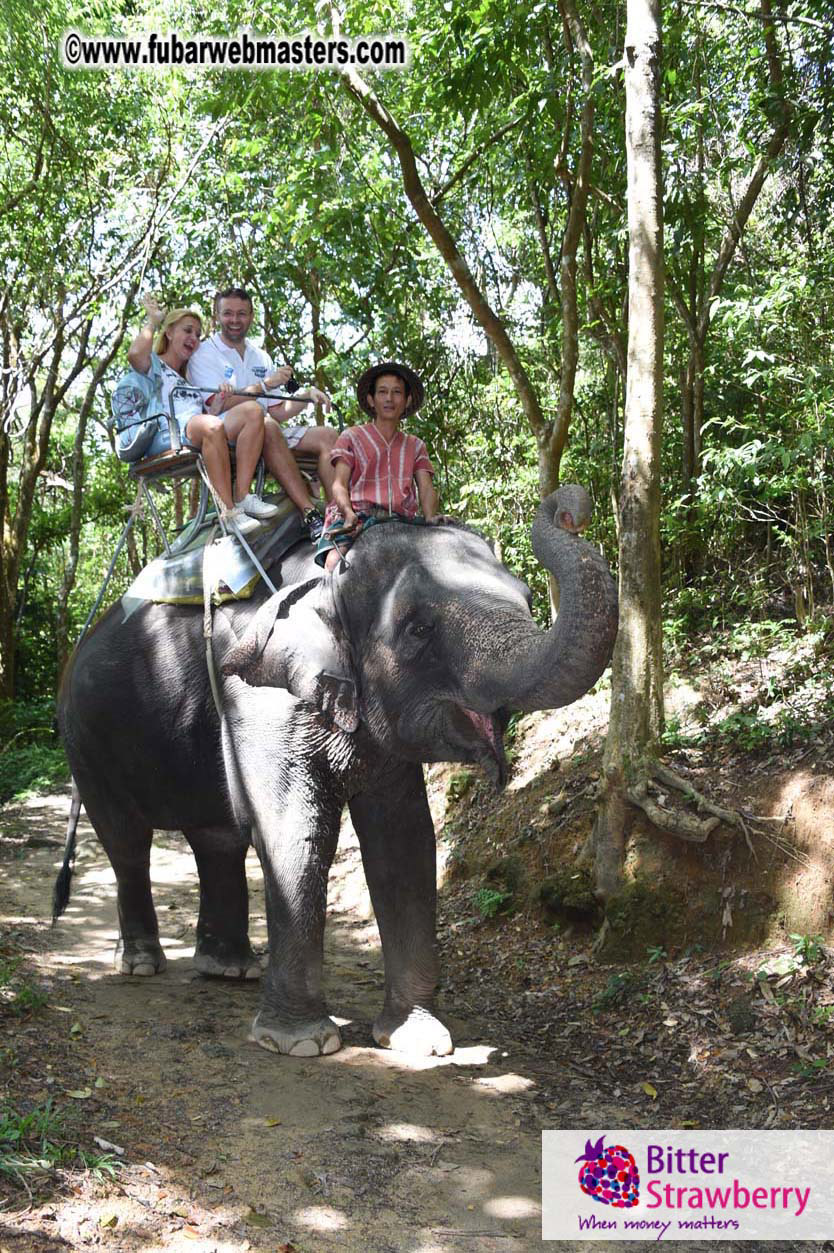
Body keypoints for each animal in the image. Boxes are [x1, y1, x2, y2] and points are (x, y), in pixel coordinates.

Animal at [56, 484, 617, 1058]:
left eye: (526, 598)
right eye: (419, 628)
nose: (571, 506)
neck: (329, 572)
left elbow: (405, 839)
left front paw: (419, 1041)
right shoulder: (259, 695)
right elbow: (296, 833)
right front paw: (301, 1043)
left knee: (216, 839)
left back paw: (229, 970)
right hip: (85, 739)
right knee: (126, 841)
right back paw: (140, 963)